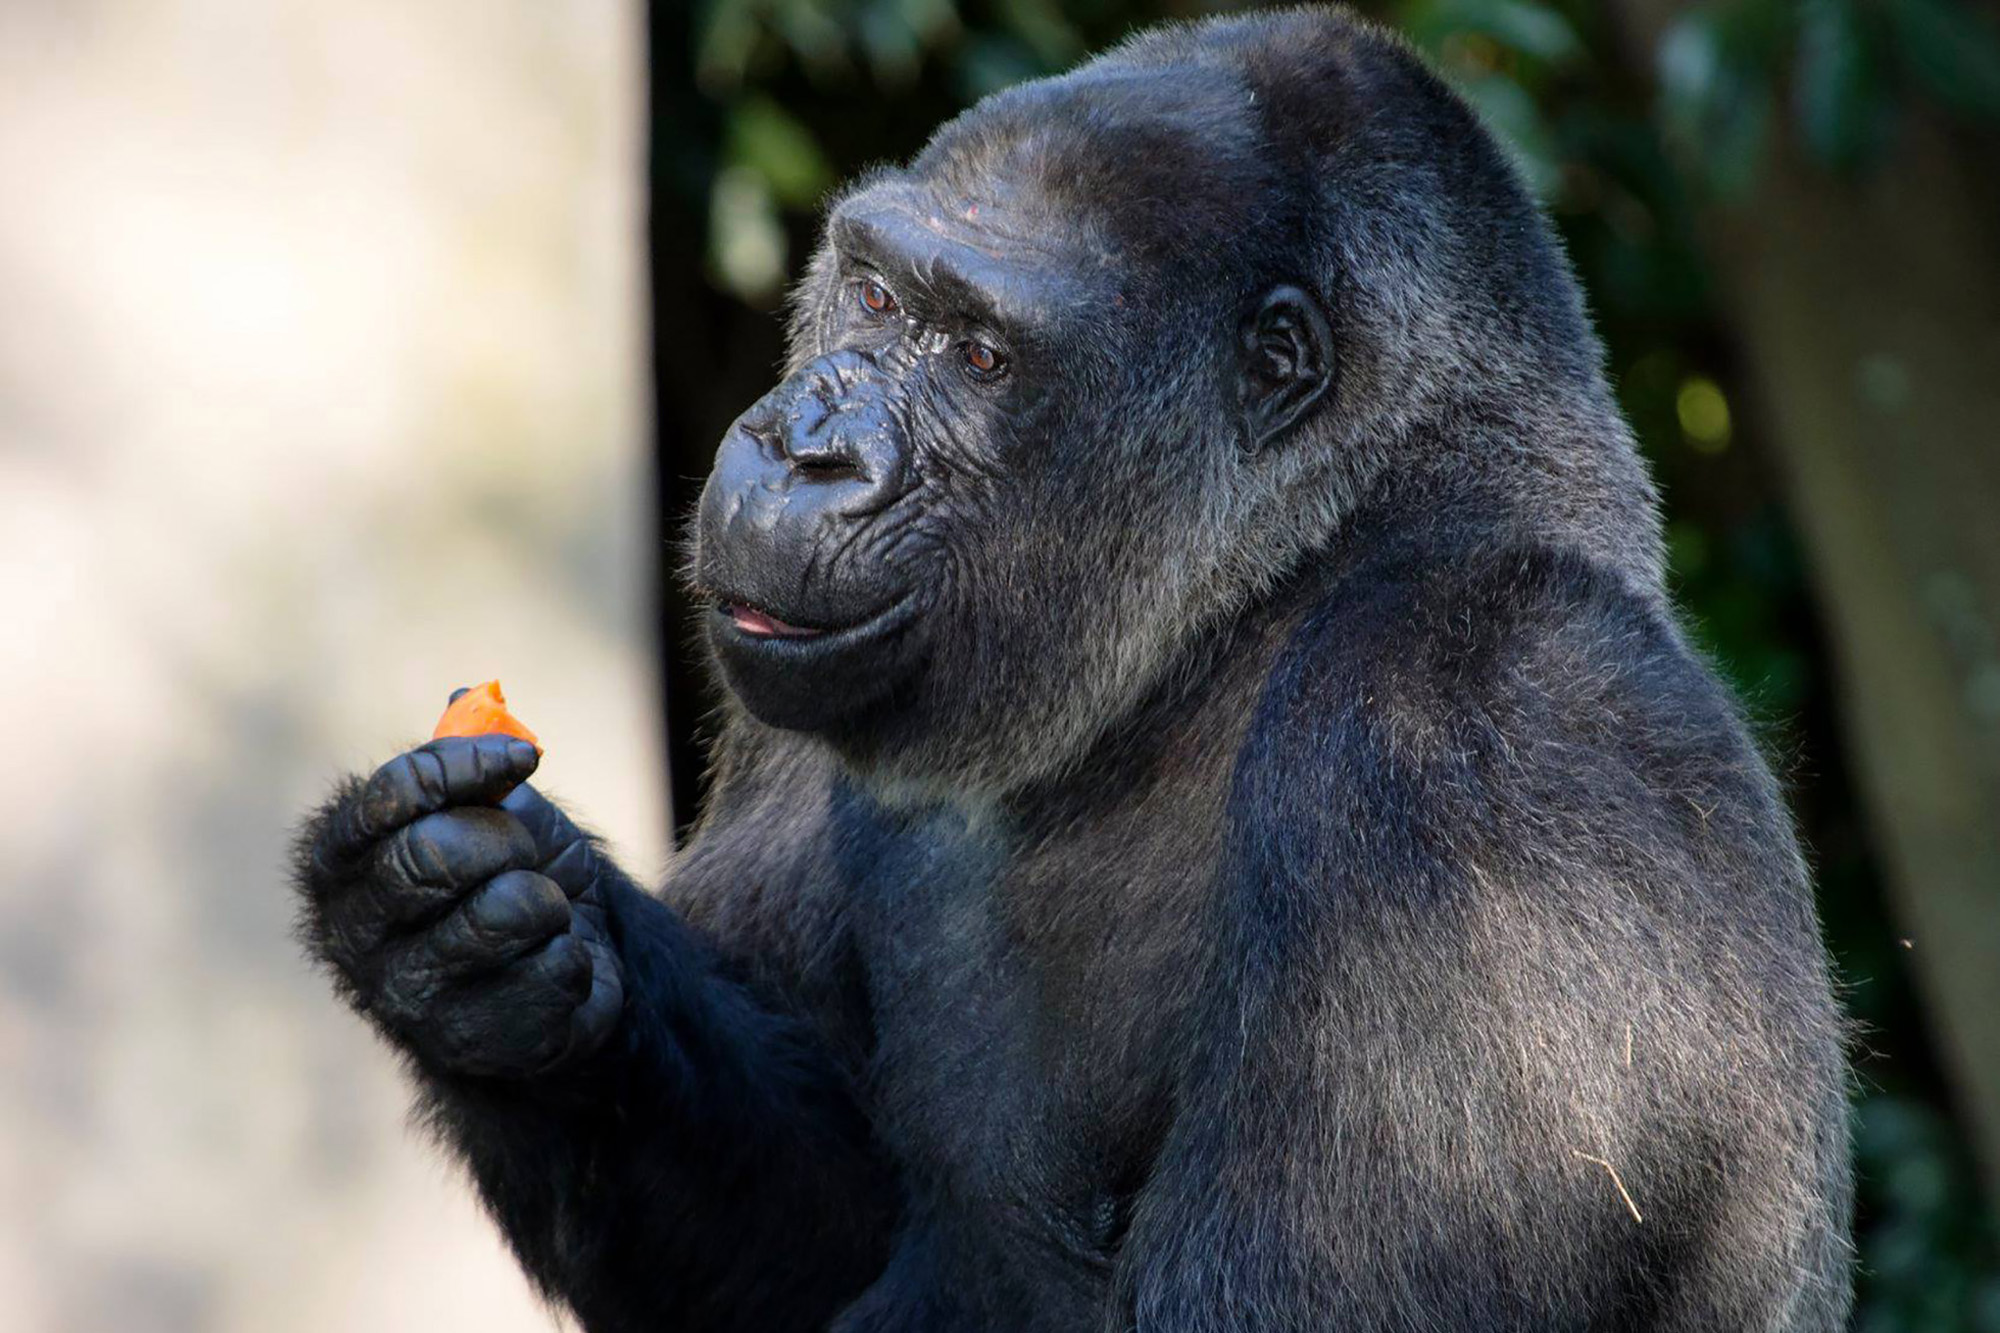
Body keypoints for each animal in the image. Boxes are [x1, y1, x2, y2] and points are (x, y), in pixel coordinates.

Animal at [290, 7, 1848, 1320]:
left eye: (979, 356)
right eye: (872, 296)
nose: (801, 445)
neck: (1240, 617)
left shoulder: (1486, 726)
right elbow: (815, 1230)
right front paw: (480, 949)